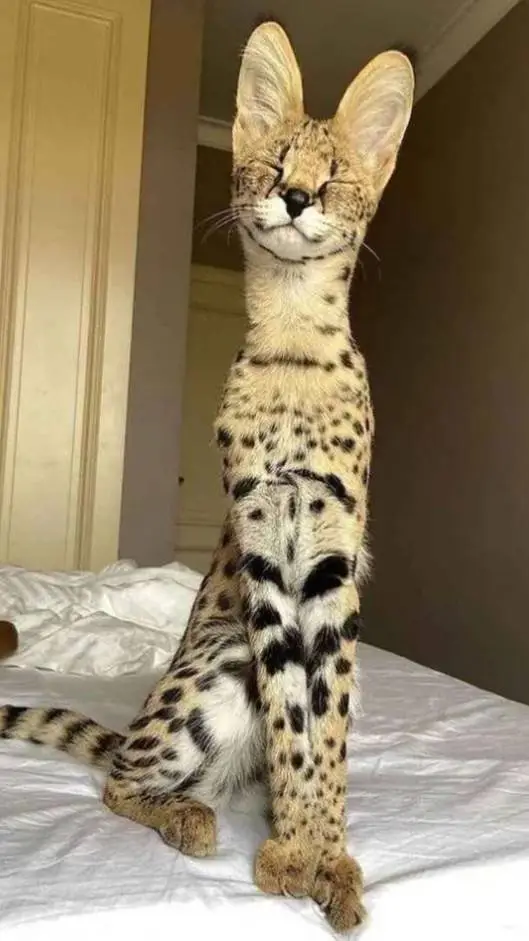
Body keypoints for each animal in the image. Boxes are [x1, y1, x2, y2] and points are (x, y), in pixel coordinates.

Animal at [0, 22, 413, 933]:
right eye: (273, 162)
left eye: (332, 174)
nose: (294, 197)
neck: (291, 337)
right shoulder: (263, 554)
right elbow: (293, 718)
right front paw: (295, 853)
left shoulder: (330, 561)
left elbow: (325, 724)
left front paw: (325, 854)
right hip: (215, 663)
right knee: (119, 776)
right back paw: (188, 813)